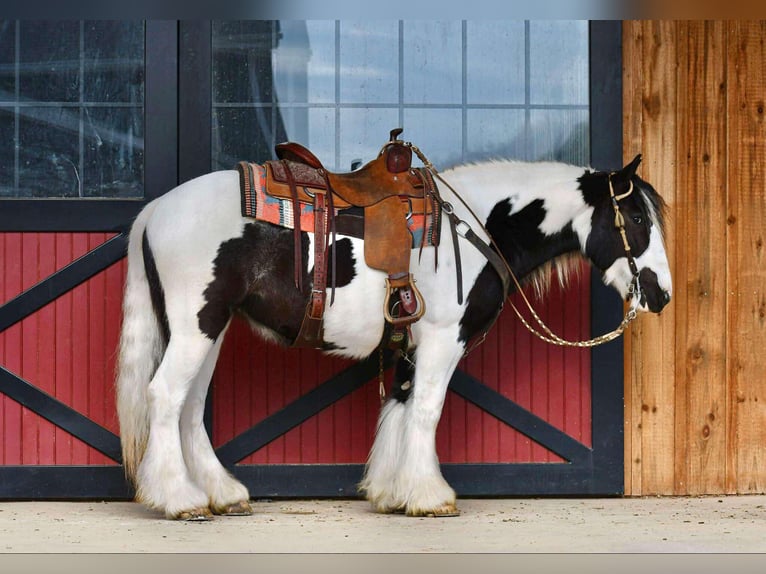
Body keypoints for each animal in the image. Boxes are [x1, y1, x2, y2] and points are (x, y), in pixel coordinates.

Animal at [114, 151, 672, 520]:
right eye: (636, 216)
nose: (661, 294)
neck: (475, 229)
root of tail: (157, 209)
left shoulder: (413, 344)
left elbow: (401, 406)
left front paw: (391, 491)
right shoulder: (445, 339)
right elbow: (426, 410)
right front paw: (430, 496)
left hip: (210, 327)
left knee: (189, 406)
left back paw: (222, 494)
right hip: (198, 324)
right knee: (165, 396)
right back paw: (179, 499)